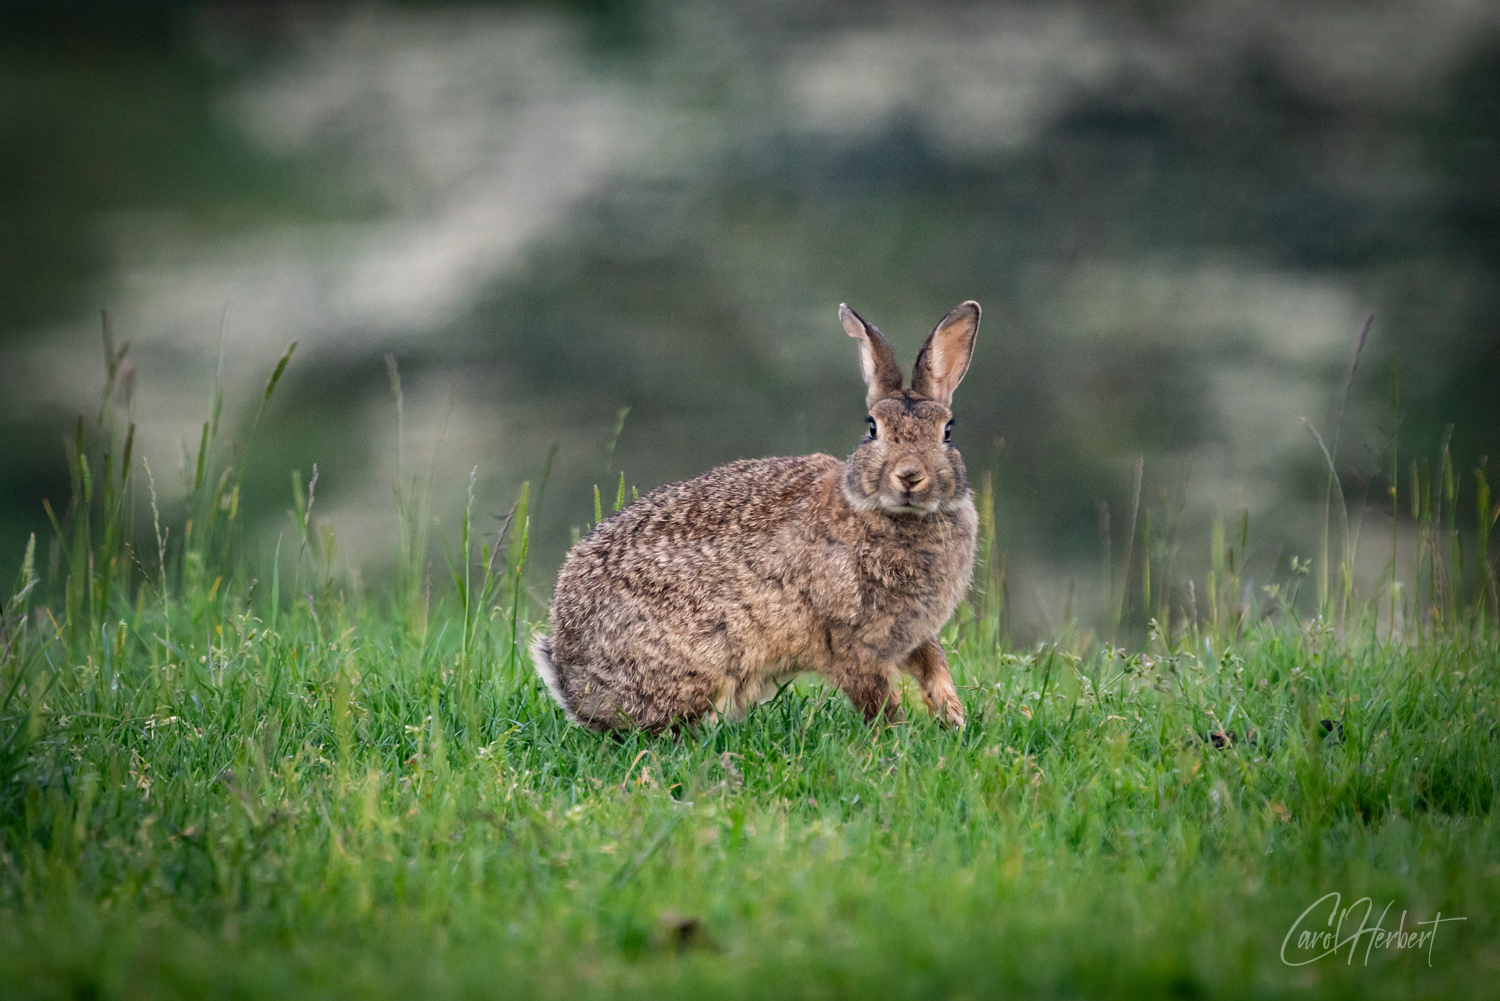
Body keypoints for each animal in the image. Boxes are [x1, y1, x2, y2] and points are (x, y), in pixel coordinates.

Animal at [531, 301, 984, 732]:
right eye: (873, 428)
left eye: (947, 431)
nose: (909, 476)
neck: (888, 515)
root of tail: (575, 685)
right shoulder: (849, 643)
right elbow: (877, 699)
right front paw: (895, 737)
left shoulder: (913, 634)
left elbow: (934, 666)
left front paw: (953, 720)